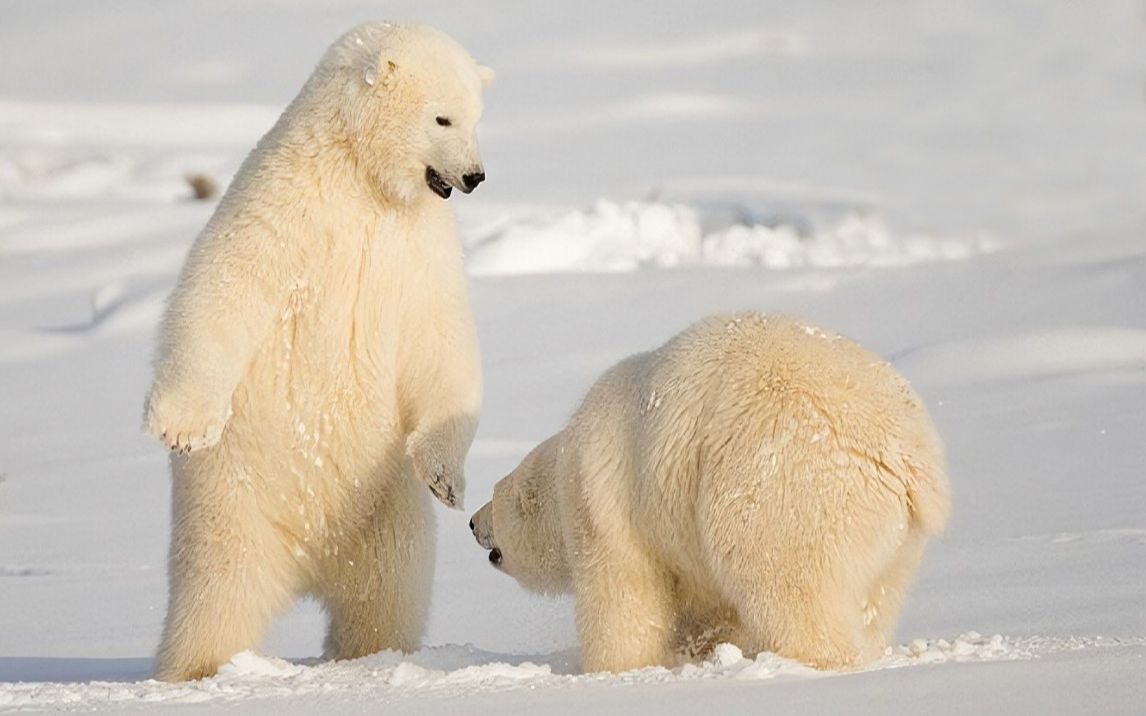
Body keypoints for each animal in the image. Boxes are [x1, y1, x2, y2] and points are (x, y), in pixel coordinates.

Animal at [142, 22, 492, 682]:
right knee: (215, 595)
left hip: (383, 511)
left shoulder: (418, 243)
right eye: (442, 117)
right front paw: (182, 424)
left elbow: (440, 337)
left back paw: (374, 655)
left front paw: (446, 478)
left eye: (476, 115)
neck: (361, 178)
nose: (476, 176)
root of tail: (309, 559)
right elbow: (225, 286)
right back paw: (199, 668)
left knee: (388, 592)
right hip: (233, 502)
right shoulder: (285, 204)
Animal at [469, 311, 953, 669]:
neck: (567, 463)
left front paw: (614, 667)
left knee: (785, 580)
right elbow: (709, 612)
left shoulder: (607, 508)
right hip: (897, 541)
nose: (473, 522)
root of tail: (906, 456)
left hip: (788, 487)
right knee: (877, 599)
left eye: (495, 497)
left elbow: (624, 598)